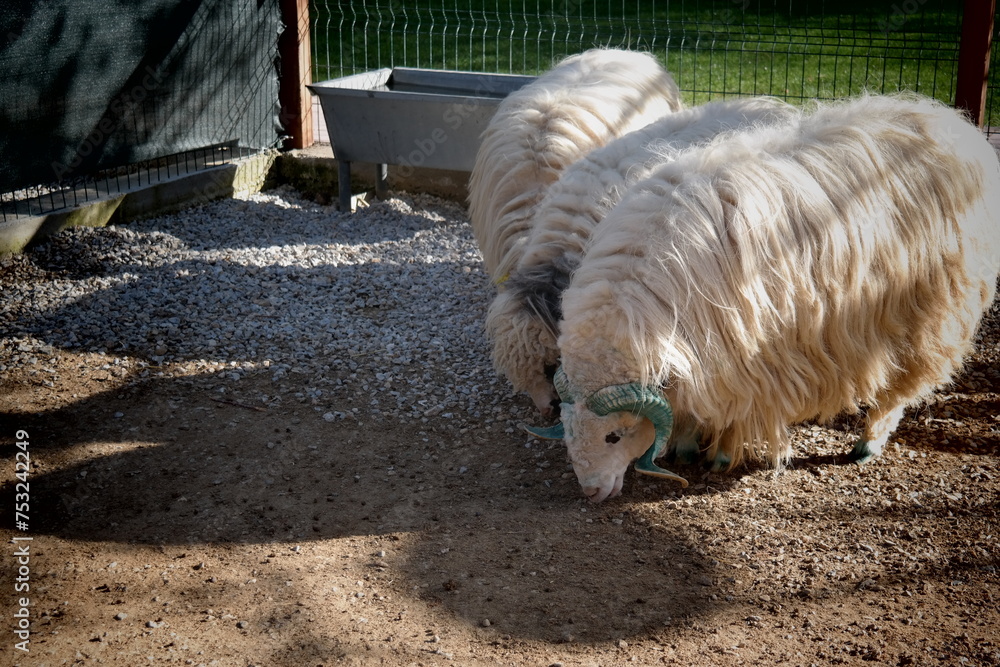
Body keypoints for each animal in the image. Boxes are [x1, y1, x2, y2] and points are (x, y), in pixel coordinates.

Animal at [528, 92, 996, 500]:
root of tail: (957, 124)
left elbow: (734, 407)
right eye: (568, 429)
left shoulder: (750, 357)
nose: (590, 492)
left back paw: (869, 442)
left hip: (931, 311)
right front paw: (686, 440)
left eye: (614, 435)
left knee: (903, 383)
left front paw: (717, 452)